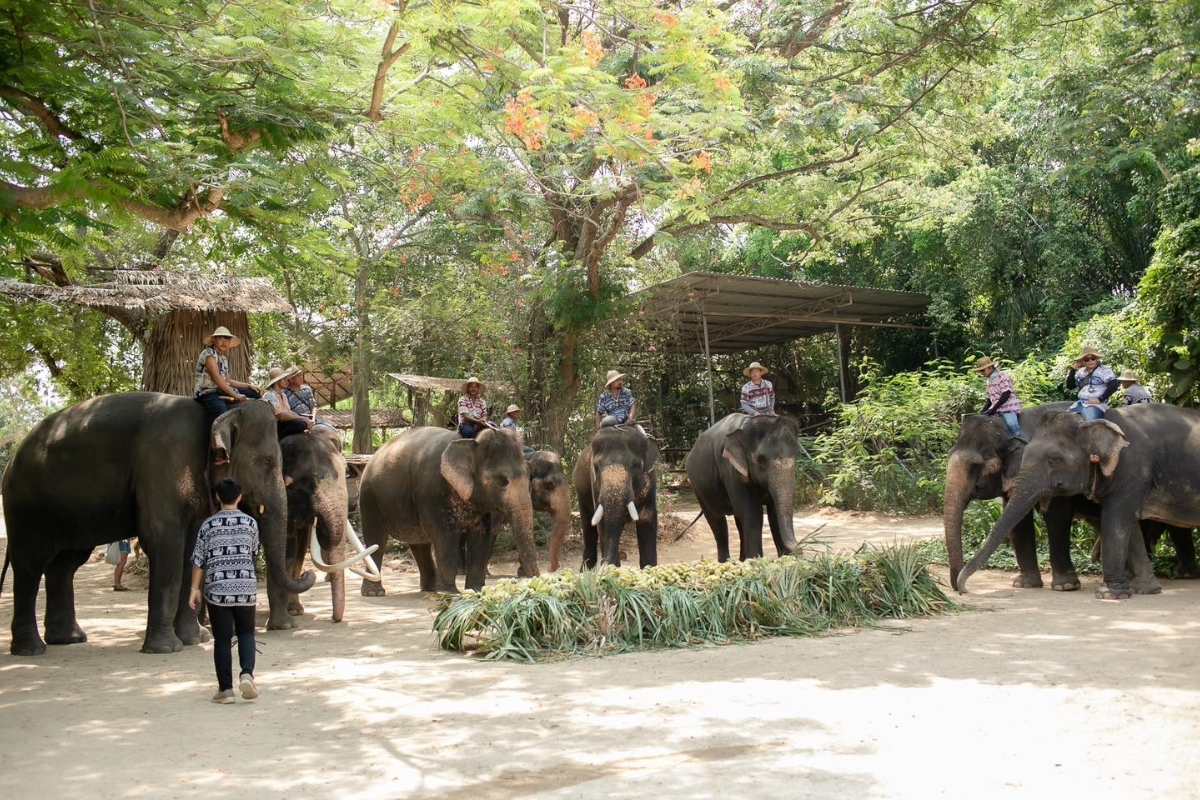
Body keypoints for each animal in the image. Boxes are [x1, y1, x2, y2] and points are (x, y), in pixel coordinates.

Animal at [0, 393, 315, 656]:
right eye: (266, 462)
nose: (308, 574)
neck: (217, 414)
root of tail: (12, 460)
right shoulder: (164, 464)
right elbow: (165, 543)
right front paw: (167, 648)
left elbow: (191, 551)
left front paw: (193, 640)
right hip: (24, 506)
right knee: (30, 565)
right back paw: (31, 650)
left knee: (65, 565)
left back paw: (69, 639)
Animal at [357, 426, 538, 594]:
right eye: (502, 481)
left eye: (529, 477)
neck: (470, 443)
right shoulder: (432, 493)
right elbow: (445, 535)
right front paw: (450, 593)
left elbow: (480, 536)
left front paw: (476, 590)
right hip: (368, 497)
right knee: (375, 539)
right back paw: (374, 592)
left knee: (419, 543)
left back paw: (430, 589)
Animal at [572, 426, 659, 568]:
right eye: (596, 467)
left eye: (636, 466)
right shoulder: (595, 486)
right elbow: (602, 522)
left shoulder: (651, 482)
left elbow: (648, 519)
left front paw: (650, 569)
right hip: (581, 494)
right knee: (588, 527)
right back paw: (586, 569)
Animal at [684, 413, 800, 562]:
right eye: (761, 460)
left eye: (796, 454)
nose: (797, 551)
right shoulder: (732, 471)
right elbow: (752, 514)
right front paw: (757, 561)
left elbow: (773, 514)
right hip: (698, 488)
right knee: (717, 521)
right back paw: (725, 562)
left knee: (738, 521)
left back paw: (741, 560)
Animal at [944, 405, 1199, 593]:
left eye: (976, 466)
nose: (959, 589)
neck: (1018, 421)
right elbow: (1019, 523)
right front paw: (1025, 585)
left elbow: (1057, 517)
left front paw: (1064, 586)